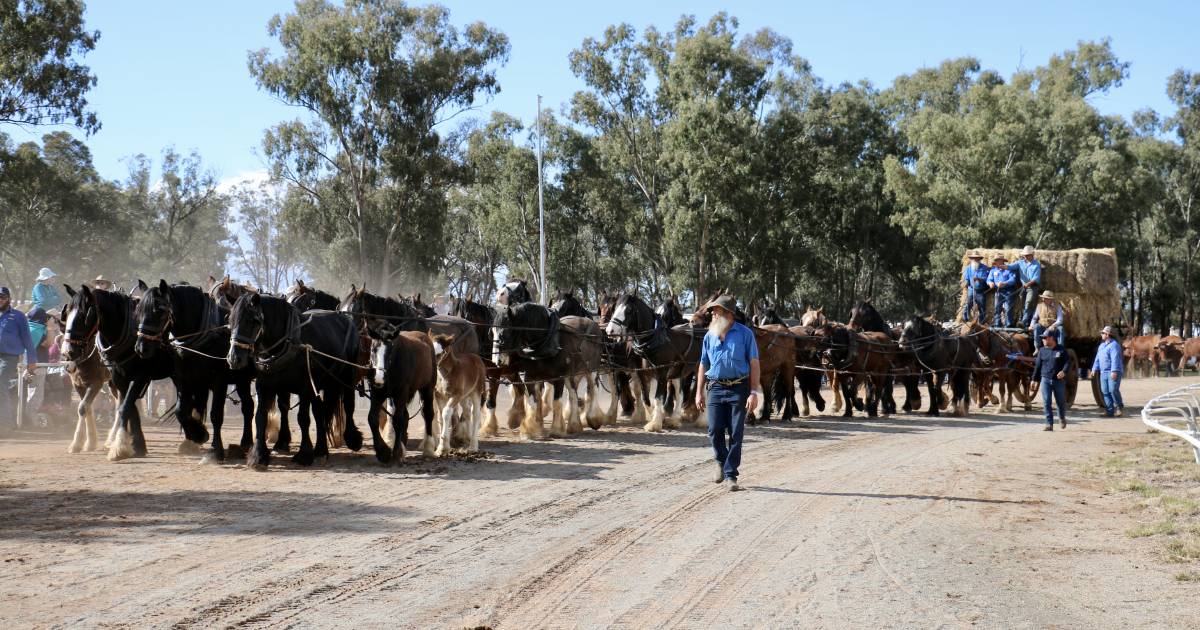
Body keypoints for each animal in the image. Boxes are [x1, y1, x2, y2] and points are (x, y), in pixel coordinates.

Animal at [63, 283, 204, 456]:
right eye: (66, 314)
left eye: (85, 315)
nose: (68, 352)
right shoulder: (115, 379)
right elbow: (125, 408)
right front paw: (136, 444)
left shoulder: (135, 378)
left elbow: (120, 407)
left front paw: (119, 446)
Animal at [130, 279, 254, 460]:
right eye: (138, 311)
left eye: (159, 311)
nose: (141, 348)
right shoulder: (184, 378)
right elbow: (181, 410)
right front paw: (198, 435)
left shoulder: (220, 380)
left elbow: (216, 414)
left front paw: (216, 449)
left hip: (243, 378)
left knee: (248, 407)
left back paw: (249, 442)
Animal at [226, 291, 360, 465]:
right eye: (230, 321)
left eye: (253, 320)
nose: (234, 358)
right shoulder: (265, 385)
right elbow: (261, 415)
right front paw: (259, 455)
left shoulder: (305, 387)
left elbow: (303, 418)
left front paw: (304, 454)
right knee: (320, 412)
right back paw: (321, 449)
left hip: (347, 376)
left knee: (348, 404)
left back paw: (353, 439)